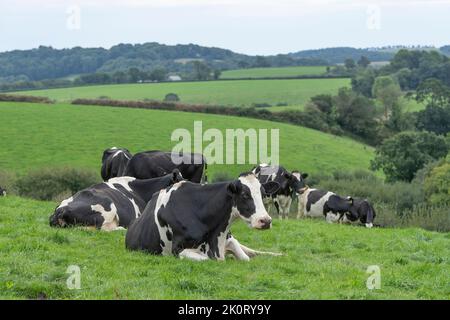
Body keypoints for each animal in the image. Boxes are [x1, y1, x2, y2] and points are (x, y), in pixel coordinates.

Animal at [125, 172, 282, 260]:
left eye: (263, 194)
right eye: (244, 195)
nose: (265, 221)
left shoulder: (227, 239)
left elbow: (245, 258)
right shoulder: (178, 250)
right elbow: (207, 259)